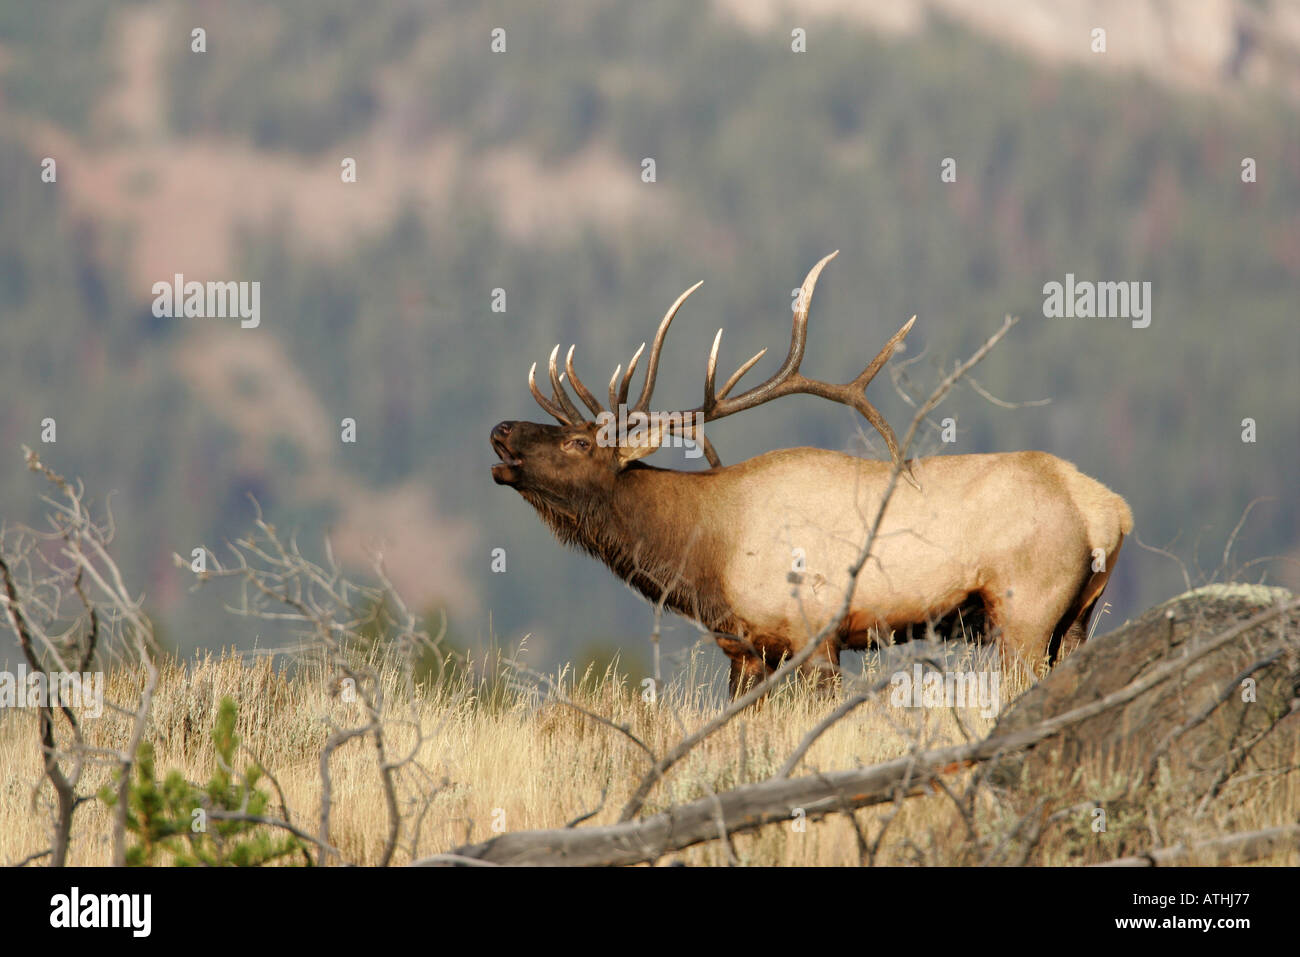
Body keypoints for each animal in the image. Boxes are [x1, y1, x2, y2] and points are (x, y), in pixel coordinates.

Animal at [490, 252, 1133, 696]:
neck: (706, 558)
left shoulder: (816, 633)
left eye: (578, 442)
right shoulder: (745, 649)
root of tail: (1110, 511)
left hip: (1027, 610)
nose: (500, 429)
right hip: (1076, 619)